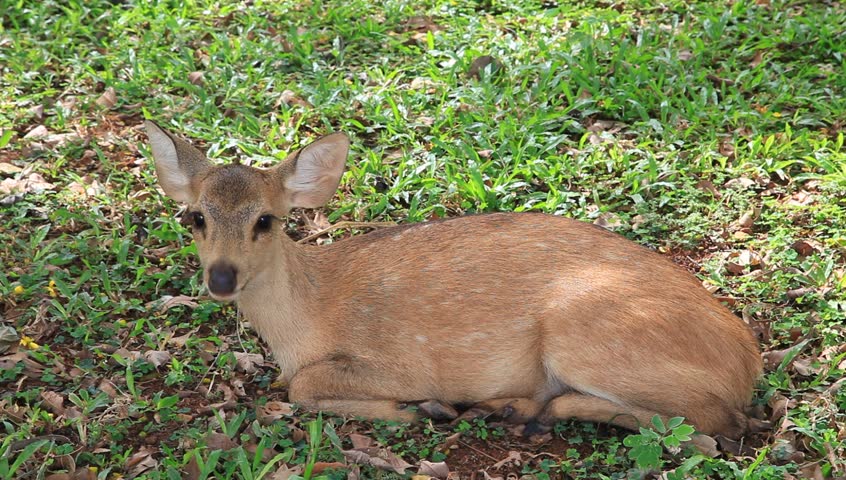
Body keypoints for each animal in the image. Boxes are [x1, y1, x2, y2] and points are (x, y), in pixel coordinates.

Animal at [144, 121, 760, 438]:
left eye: (265, 220)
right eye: (194, 217)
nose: (222, 277)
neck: (305, 321)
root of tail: (748, 363)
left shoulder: (403, 360)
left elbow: (303, 387)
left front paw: (419, 409)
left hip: (585, 335)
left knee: (716, 426)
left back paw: (522, 411)